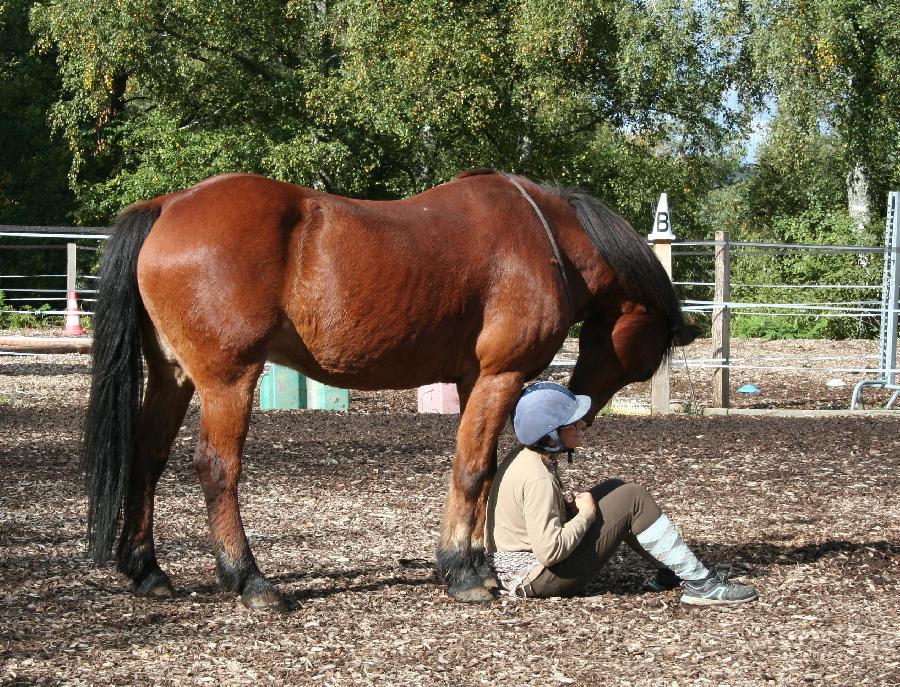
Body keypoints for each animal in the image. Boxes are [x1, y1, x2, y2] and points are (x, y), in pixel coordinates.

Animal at [82, 169, 704, 612]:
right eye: (643, 361)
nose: (581, 414)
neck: (544, 238)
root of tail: (168, 205)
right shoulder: (500, 376)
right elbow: (472, 469)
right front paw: (461, 572)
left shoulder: (474, 380)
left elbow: (486, 470)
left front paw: (477, 564)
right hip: (227, 381)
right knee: (217, 468)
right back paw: (248, 579)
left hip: (172, 377)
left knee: (148, 458)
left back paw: (146, 569)